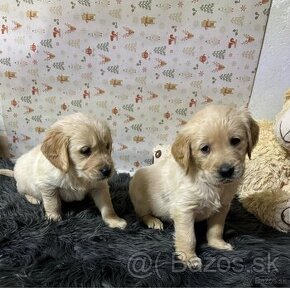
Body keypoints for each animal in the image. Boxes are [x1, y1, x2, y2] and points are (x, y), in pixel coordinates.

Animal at [129, 104, 258, 268]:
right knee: (142, 214)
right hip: (141, 199)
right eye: (205, 149)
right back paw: (153, 221)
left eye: (235, 141)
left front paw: (218, 244)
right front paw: (189, 257)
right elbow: (188, 237)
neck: (210, 183)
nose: (226, 171)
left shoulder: (223, 207)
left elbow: (216, 229)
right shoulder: (184, 209)